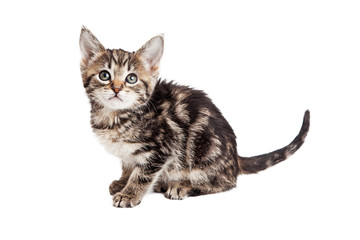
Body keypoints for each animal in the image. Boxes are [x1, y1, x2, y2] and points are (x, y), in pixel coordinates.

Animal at [79, 25, 310, 206]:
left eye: (131, 78)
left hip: (206, 155)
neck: (115, 116)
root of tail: (234, 158)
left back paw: (181, 186)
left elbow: (143, 174)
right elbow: (128, 165)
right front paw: (123, 181)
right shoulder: (128, 152)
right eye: (104, 75)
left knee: (225, 183)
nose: (117, 88)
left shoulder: (163, 147)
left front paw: (130, 193)